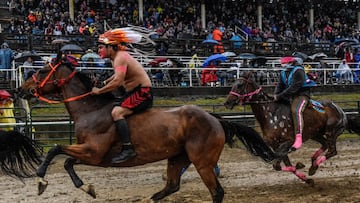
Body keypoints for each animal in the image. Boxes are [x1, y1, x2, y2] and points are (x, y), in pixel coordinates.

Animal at [16, 58, 278, 202]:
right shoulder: (94, 155)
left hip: (202, 162)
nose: (20, 89)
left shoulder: (93, 151)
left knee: (217, 192)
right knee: (172, 186)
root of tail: (214, 118)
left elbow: (56, 149)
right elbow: (67, 161)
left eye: (41, 71)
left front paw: (40, 178)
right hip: (177, 158)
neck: (90, 110)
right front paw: (86, 187)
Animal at [224, 71, 360, 186]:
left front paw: (300, 167)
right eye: (233, 84)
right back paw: (313, 165)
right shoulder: (276, 146)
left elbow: (277, 164)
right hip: (316, 134)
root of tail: (342, 112)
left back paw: (314, 165)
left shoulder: (287, 142)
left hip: (331, 132)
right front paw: (306, 178)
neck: (271, 113)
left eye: (240, 85)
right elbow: (281, 165)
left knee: (332, 151)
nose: (227, 103)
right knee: (325, 145)